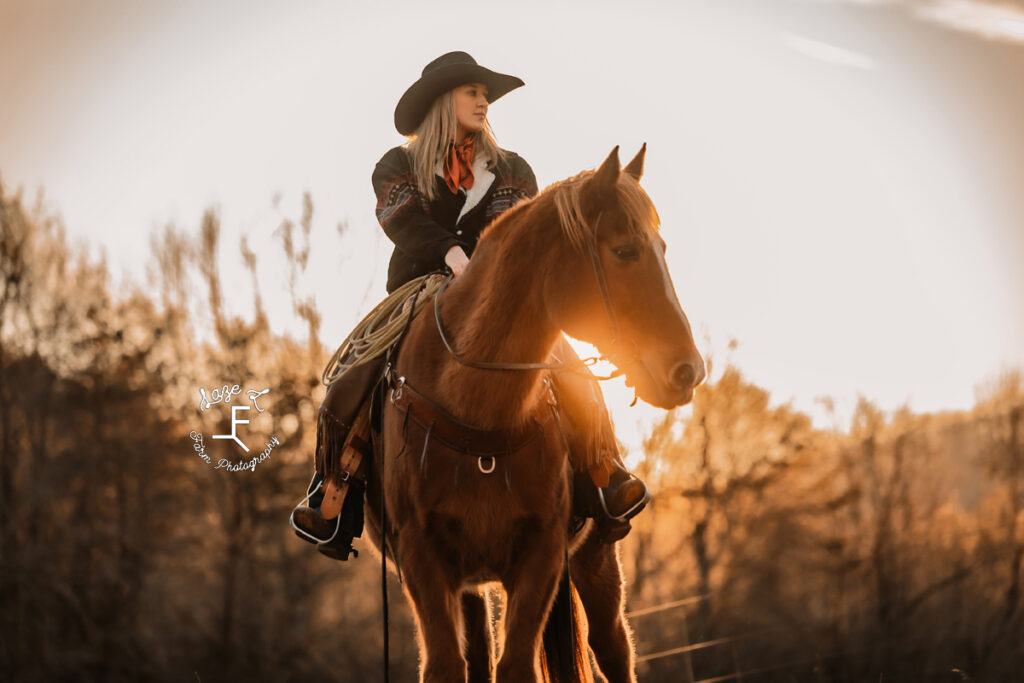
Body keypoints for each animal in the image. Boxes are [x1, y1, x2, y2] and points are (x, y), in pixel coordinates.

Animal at [360, 145, 704, 683]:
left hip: (595, 558)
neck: (477, 412)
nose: (688, 370)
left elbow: (518, 664)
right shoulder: (422, 557)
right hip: (472, 587)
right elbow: (446, 664)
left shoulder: (542, 553)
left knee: (613, 647)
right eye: (625, 251)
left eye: (662, 248)